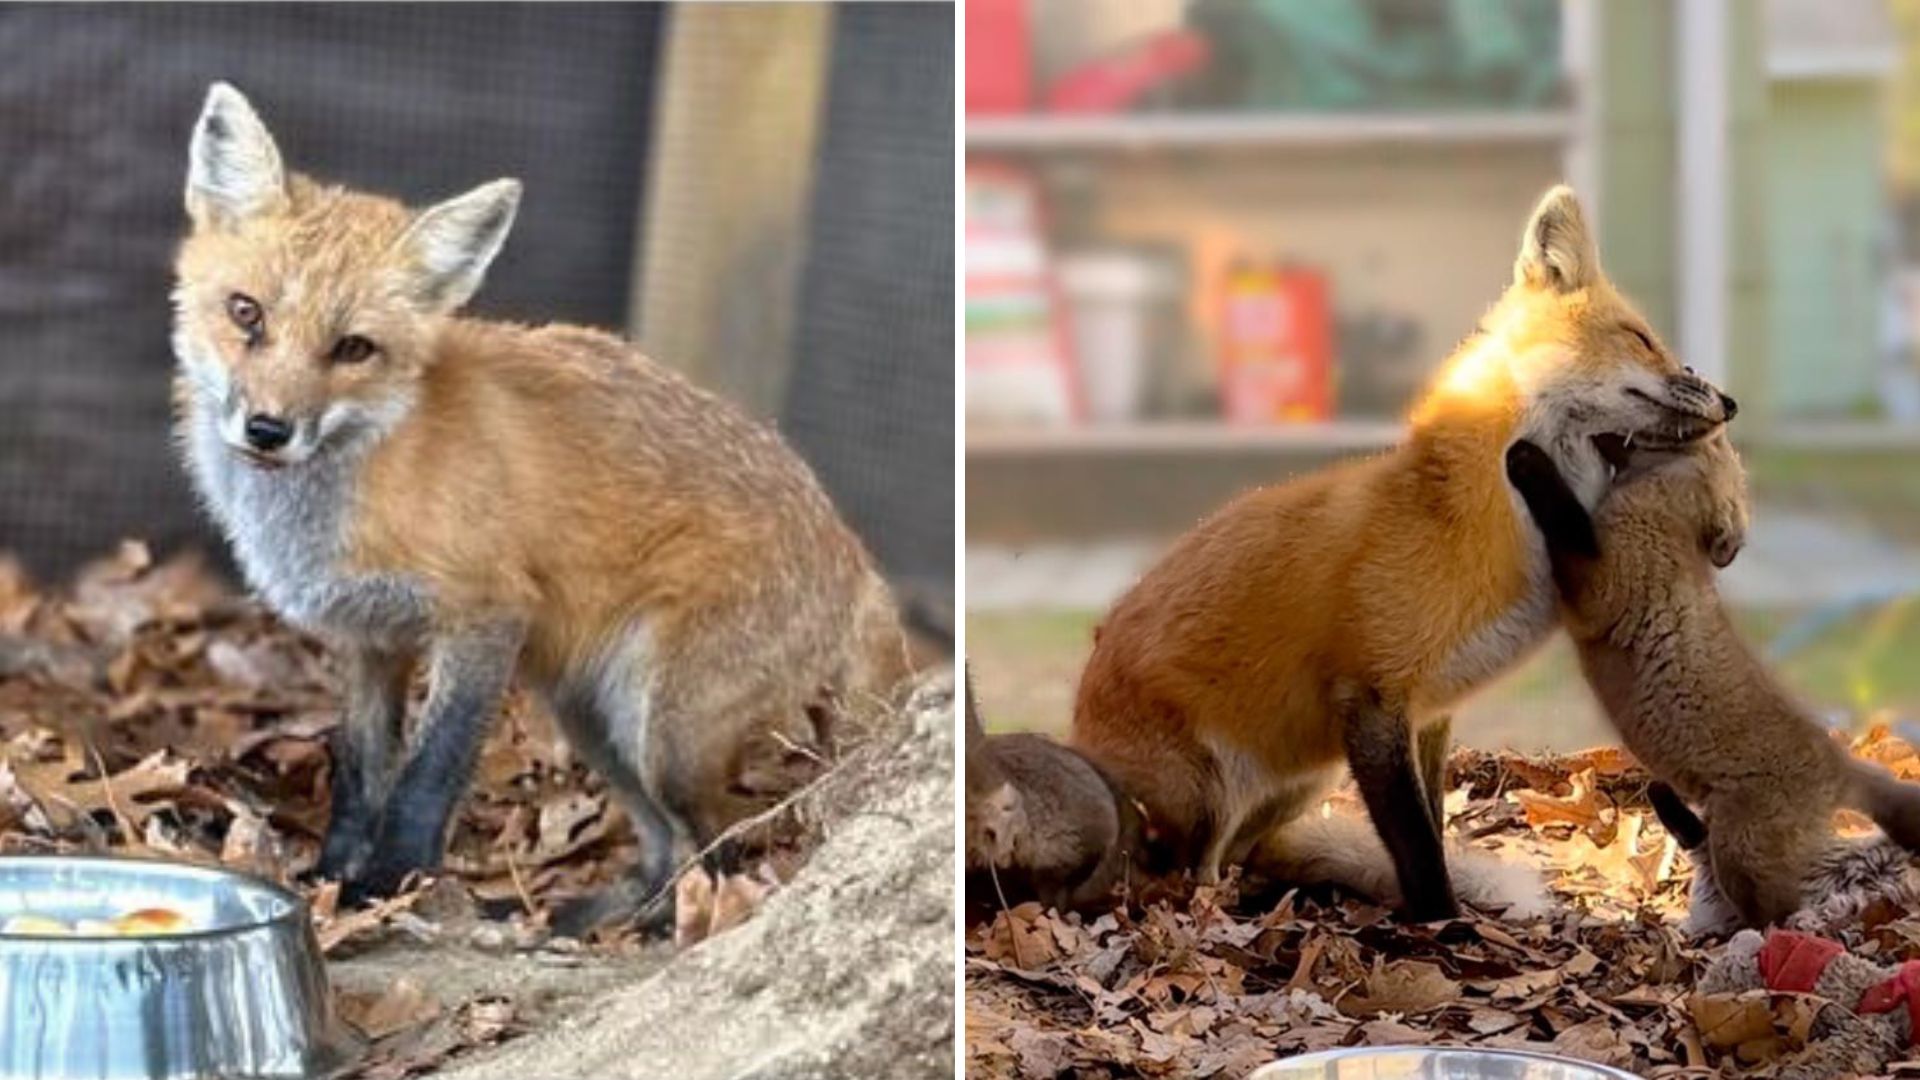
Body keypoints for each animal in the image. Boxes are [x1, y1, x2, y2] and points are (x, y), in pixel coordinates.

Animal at [170, 84, 906, 930]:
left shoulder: (486, 617)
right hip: (596, 721)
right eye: (246, 313)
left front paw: (385, 887)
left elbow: (425, 778)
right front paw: (330, 878)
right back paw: (595, 922)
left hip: (664, 735)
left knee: (729, 848)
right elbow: (359, 776)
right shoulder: (368, 642)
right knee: (666, 852)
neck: (375, 464)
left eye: (352, 349)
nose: (268, 430)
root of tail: (853, 549)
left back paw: (675, 930)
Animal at [1075, 184, 1735, 914]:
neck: (1487, 512)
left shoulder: (1429, 712)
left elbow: (1436, 831)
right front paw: (1444, 924)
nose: (1730, 401)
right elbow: (1416, 848)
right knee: (1180, 876)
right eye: (1642, 338)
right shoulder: (1373, 697)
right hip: (1209, 797)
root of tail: (1077, 725)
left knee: (1245, 859)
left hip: (1303, 779)